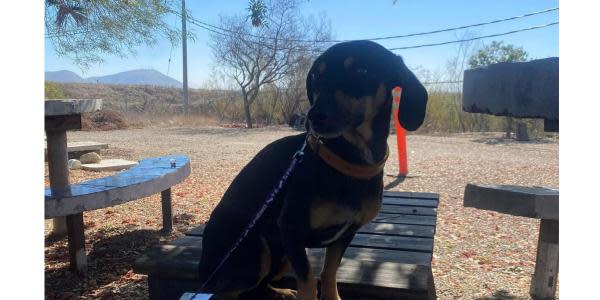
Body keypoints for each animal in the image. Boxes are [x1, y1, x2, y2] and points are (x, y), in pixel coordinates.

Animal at [199, 40, 428, 300]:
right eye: (317, 76)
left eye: (362, 71)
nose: (314, 116)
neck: (349, 162)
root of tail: (203, 270)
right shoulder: (291, 230)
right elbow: (308, 282)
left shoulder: (344, 234)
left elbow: (329, 273)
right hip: (258, 253)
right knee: (227, 292)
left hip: (281, 257)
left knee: (259, 287)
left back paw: (282, 292)